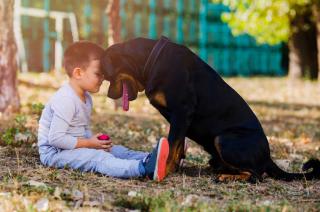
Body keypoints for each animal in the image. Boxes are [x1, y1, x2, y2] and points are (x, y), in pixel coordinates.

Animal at [102, 36, 320, 182]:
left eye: (107, 76)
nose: (109, 96)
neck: (150, 59)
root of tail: (268, 157)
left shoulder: (182, 112)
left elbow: (173, 145)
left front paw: (164, 169)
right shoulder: (181, 120)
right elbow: (178, 146)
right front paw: (173, 168)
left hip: (223, 139)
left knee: (256, 175)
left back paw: (226, 177)